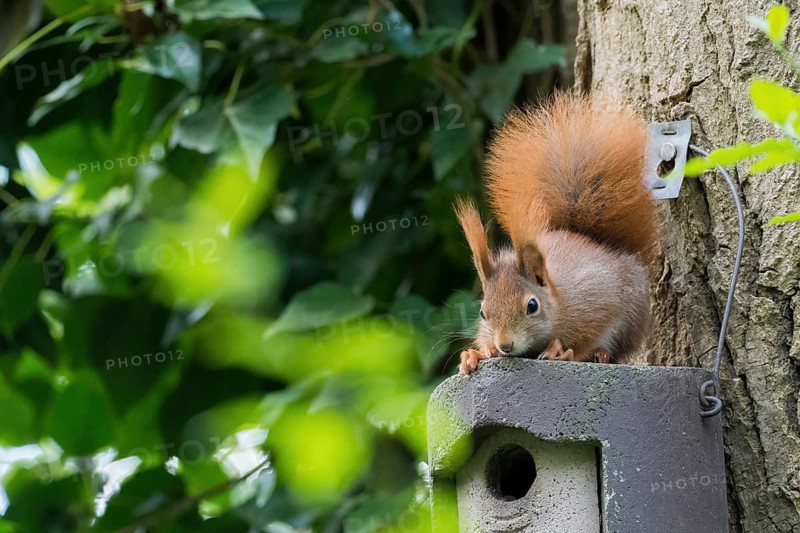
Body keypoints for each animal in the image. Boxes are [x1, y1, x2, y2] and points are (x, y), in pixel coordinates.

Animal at [456, 93, 658, 374]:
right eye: (482, 312)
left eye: (532, 306)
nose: (505, 344)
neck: (557, 298)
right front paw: (477, 353)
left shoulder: (595, 304)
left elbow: (587, 338)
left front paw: (563, 352)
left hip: (633, 316)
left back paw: (602, 353)